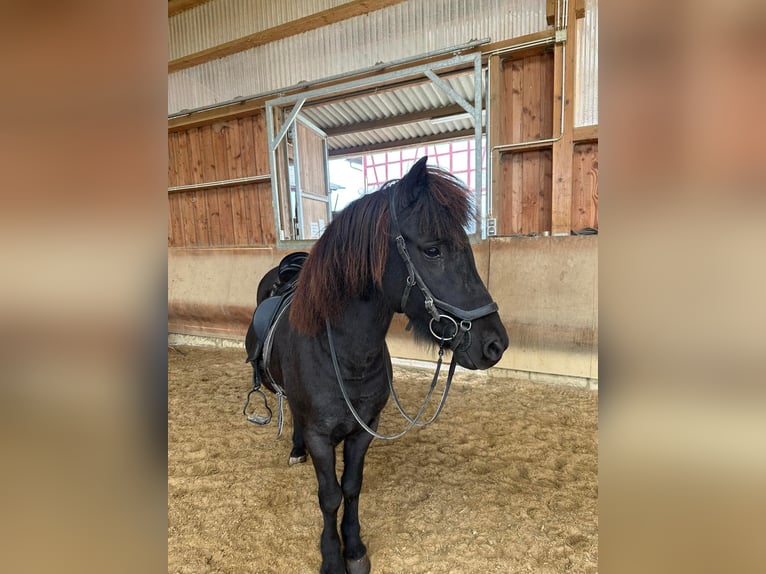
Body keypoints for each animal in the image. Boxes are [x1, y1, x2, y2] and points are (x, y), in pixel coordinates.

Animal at [248, 158, 510, 574]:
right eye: (432, 250)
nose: (494, 344)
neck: (343, 353)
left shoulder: (363, 432)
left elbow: (351, 488)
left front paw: (354, 549)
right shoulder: (321, 437)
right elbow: (329, 495)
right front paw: (331, 557)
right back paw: (296, 449)